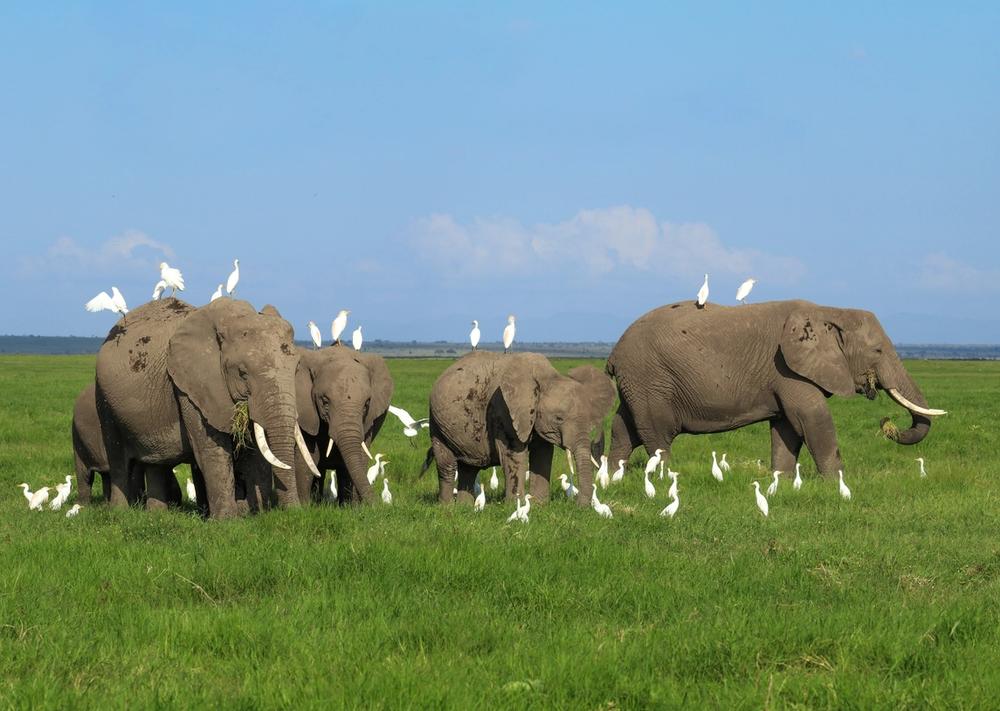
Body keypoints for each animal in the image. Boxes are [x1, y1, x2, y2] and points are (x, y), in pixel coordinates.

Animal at [94, 297, 310, 519]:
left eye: (296, 369)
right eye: (242, 373)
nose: (296, 512)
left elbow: (254, 452)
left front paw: (253, 513)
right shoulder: (190, 386)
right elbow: (211, 448)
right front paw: (227, 520)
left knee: (155, 463)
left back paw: (157, 515)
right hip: (103, 397)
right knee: (118, 459)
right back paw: (119, 512)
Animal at [293, 345, 394, 504]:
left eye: (367, 403)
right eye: (325, 401)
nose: (378, 505)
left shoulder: (369, 419)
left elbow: (359, 456)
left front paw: (354, 507)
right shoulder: (306, 412)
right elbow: (308, 457)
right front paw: (304, 506)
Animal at [426, 351, 616, 506]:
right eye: (559, 418)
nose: (578, 505)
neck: (547, 377)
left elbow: (543, 454)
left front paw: (539, 505)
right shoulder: (503, 410)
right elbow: (514, 455)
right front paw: (516, 506)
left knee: (468, 467)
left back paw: (464, 507)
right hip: (437, 424)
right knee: (447, 465)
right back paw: (447, 507)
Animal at [605, 299, 947, 475]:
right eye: (877, 350)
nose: (886, 423)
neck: (829, 311)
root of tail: (613, 354)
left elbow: (786, 427)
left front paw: (781, 482)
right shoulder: (789, 369)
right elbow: (811, 418)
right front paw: (837, 485)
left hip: (638, 383)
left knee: (624, 429)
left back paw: (613, 478)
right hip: (650, 380)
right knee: (658, 434)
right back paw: (667, 479)